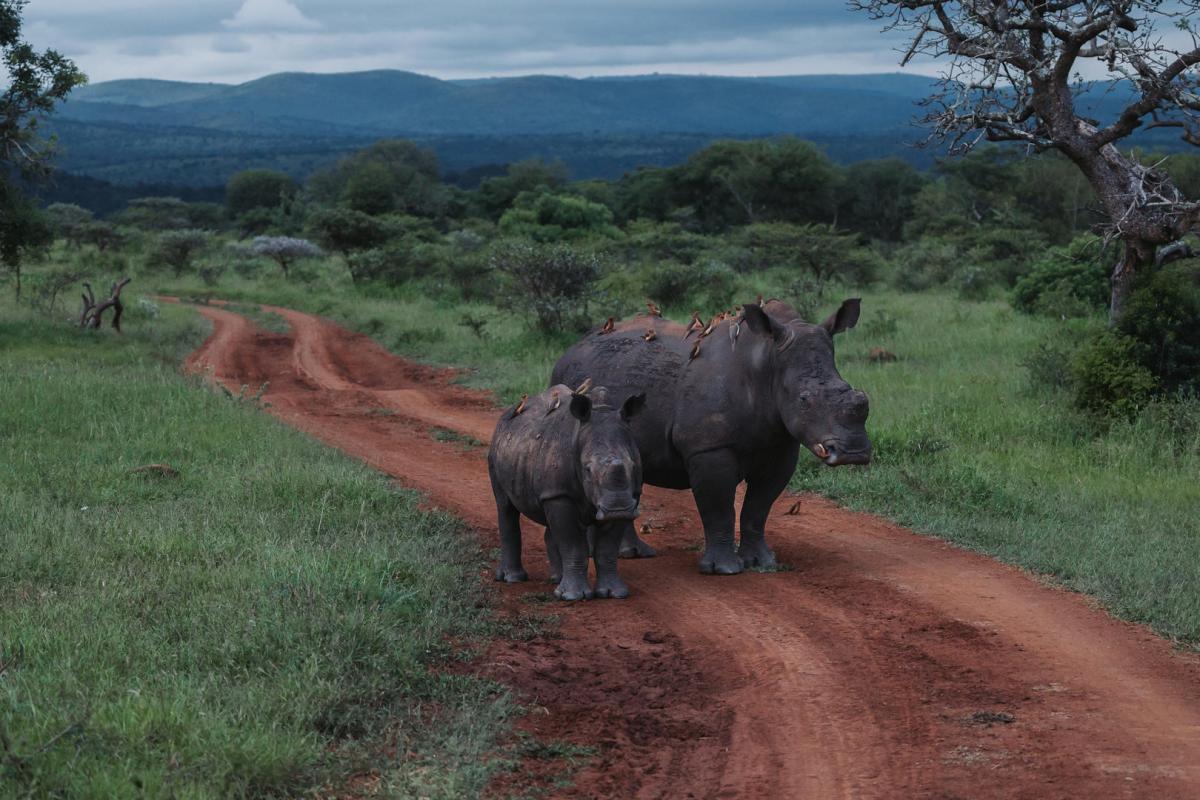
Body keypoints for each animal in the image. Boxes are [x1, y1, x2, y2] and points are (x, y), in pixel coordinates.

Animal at [488, 384, 646, 600]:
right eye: (587, 469)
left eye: (633, 466)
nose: (618, 509)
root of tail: (507, 414)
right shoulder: (560, 495)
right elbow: (573, 544)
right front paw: (573, 596)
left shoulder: (628, 495)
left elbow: (606, 549)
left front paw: (614, 593)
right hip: (496, 447)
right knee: (505, 507)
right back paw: (513, 579)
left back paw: (557, 579)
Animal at [550, 299, 870, 575]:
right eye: (804, 400)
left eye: (852, 391)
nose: (853, 452)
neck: (766, 362)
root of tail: (571, 349)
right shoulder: (709, 448)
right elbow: (718, 507)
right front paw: (724, 570)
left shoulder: (781, 446)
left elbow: (759, 507)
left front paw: (762, 562)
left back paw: (632, 553)